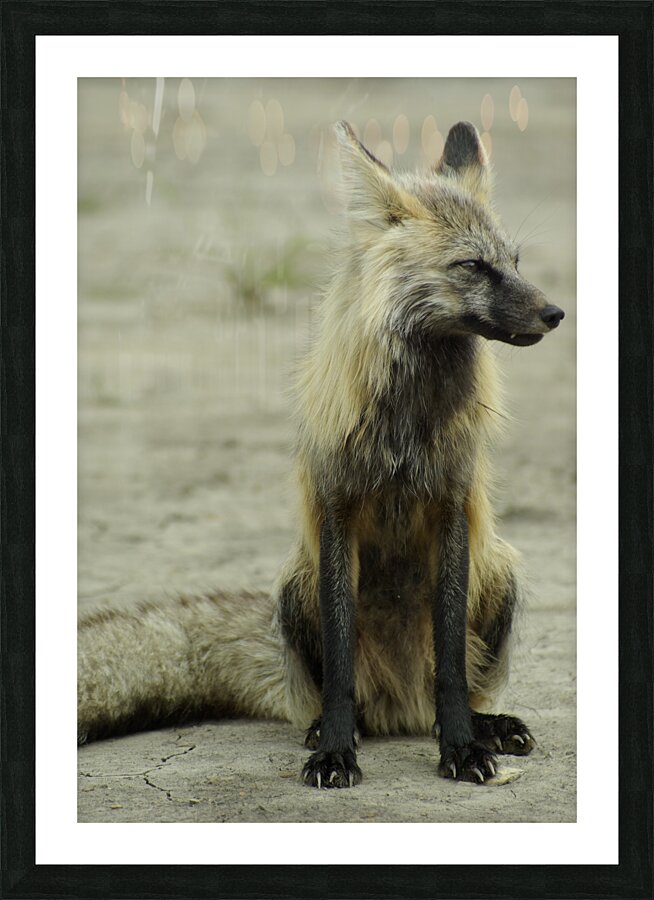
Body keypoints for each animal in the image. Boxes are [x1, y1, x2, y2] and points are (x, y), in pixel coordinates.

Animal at [78, 120, 564, 789]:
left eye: (515, 263)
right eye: (472, 265)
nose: (555, 313)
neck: (405, 427)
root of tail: (399, 708)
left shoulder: (451, 507)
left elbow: (451, 666)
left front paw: (463, 748)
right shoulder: (337, 508)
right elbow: (338, 664)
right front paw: (334, 751)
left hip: (501, 571)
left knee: (453, 691)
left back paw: (481, 724)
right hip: (295, 586)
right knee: (340, 693)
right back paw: (337, 727)